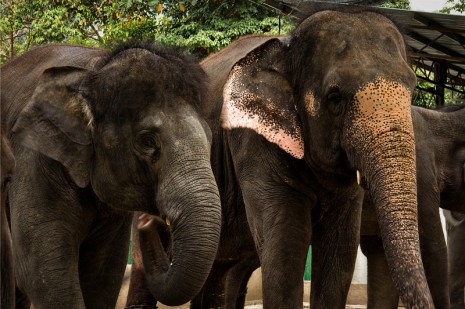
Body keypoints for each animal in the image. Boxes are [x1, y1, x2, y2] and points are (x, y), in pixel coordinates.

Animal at [0, 41, 221, 308]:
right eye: (148, 141)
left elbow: (103, 275)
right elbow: (44, 272)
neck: (94, 70)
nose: (146, 222)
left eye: (210, 138)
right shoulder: (34, 161)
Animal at [123, 5, 432, 308]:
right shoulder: (252, 142)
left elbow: (340, 254)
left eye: (412, 89)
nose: (153, 221)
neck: (286, 47)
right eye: (334, 97)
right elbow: (285, 250)